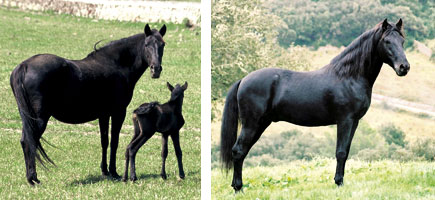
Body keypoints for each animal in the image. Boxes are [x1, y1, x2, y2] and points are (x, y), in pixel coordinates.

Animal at [10, 23, 167, 184]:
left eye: (162, 44)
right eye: (147, 45)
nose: (156, 70)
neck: (116, 65)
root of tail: (24, 66)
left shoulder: (104, 115)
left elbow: (105, 141)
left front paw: (105, 171)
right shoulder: (118, 112)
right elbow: (114, 141)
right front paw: (114, 172)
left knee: (25, 141)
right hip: (39, 119)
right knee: (30, 141)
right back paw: (33, 178)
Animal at [223, 18, 410, 191]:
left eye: (402, 41)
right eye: (387, 41)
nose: (404, 67)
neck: (348, 76)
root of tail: (243, 80)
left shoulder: (355, 122)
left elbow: (346, 152)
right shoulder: (345, 120)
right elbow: (341, 152)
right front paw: (338, 183)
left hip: (261, 124)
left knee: (242, 151)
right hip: (251, 124)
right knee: (238, 150)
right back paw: (238, 188)